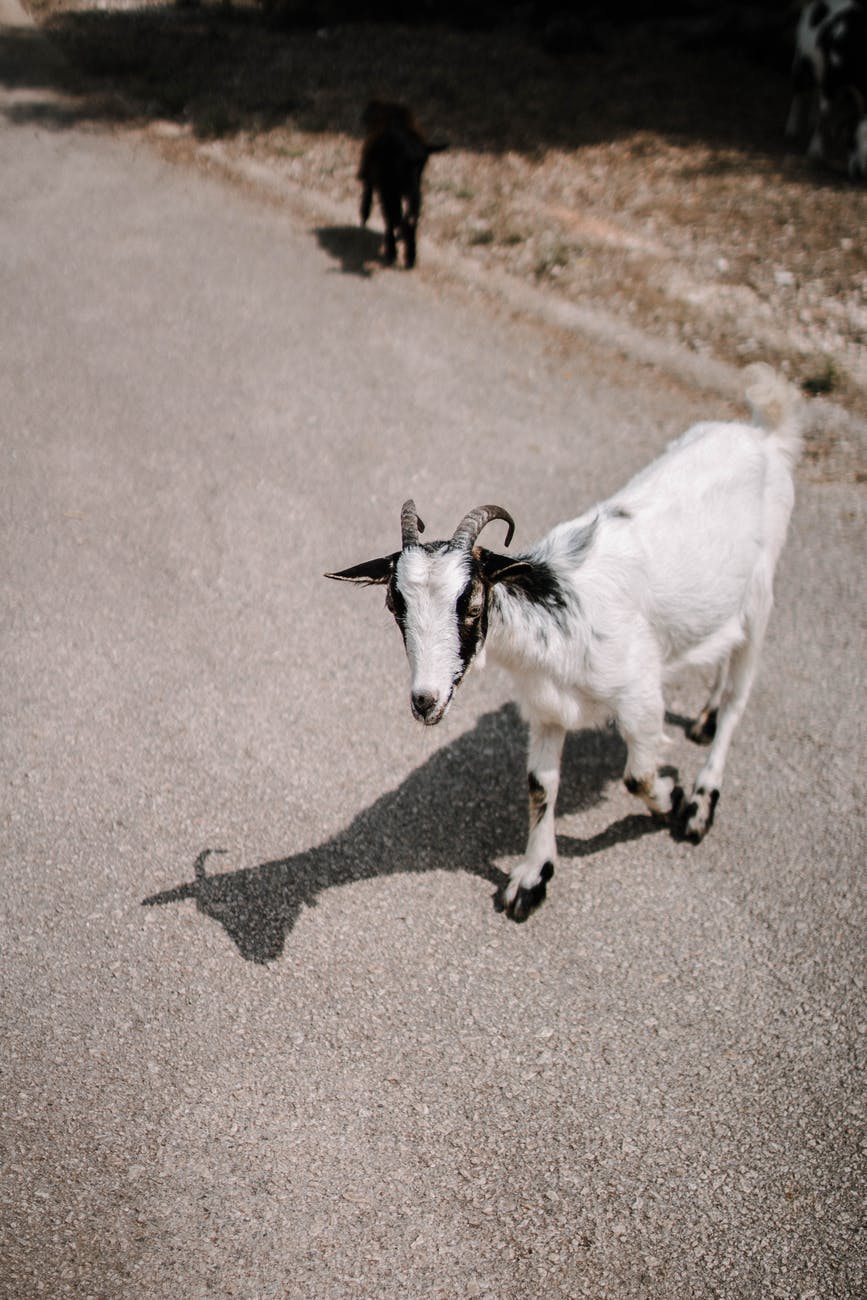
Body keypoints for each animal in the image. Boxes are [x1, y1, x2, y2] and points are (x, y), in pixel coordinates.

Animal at [327, 365, 802, 922]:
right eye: (393, 604)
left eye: (472, 603)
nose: (425, 700)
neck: (559, 618)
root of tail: (763, 435)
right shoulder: (547, 709)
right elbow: (540, 784)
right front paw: (532, 877)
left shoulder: (640, 697)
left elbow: (638, 776)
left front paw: (673, 794)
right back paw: (702, 721)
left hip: (762, 592)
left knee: (738, 700)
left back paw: (701, 800)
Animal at [358, 100, 447, 268]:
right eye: (405, 164)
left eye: (423, 163)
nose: (411, 189)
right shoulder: (393, 189)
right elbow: (396, 215)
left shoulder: (395, 189)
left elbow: (397, 216)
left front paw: (401, 251)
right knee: (399, 214)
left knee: (396, 214)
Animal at [786, 0, 867, 177]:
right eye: (853, 141)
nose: (859, 172)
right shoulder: (830, 80)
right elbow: (825, 112)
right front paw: (815, 151)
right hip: (800, 61)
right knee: (799, 93)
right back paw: (792, 129)